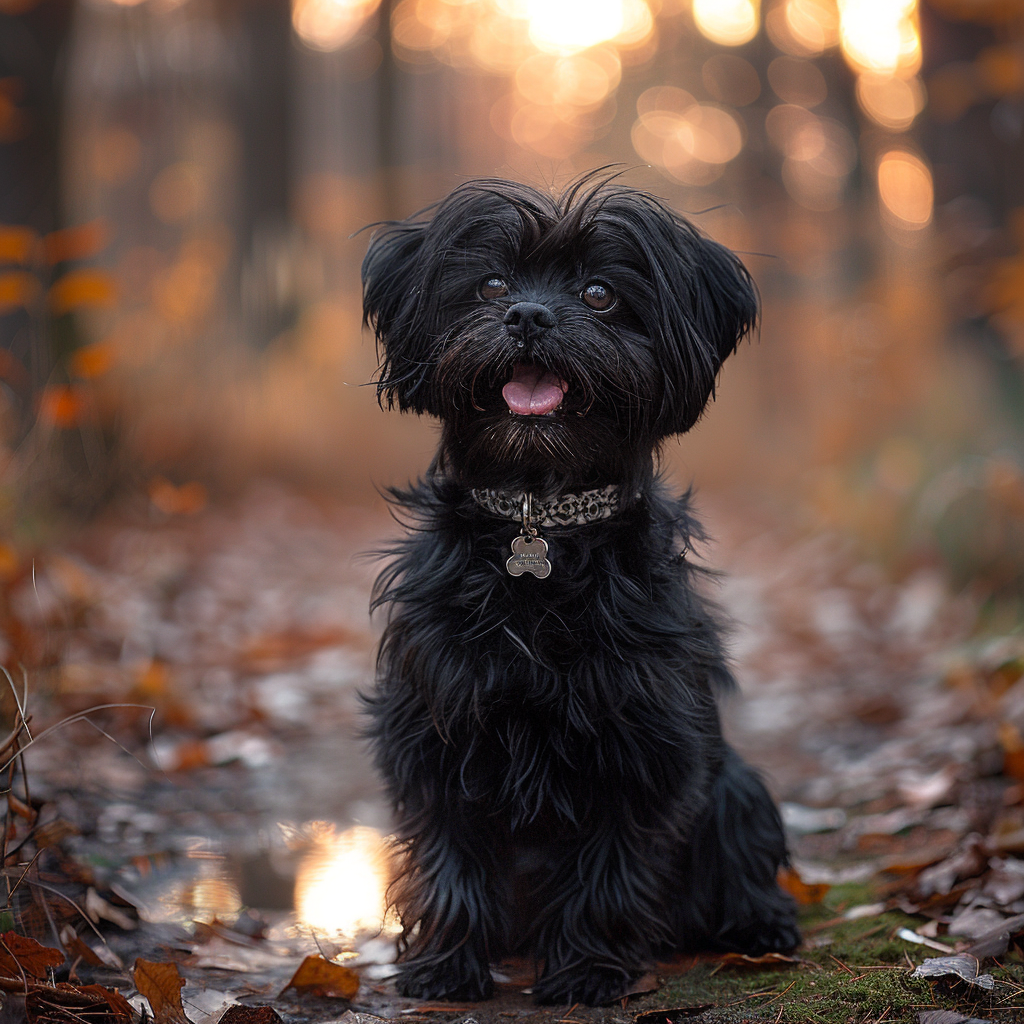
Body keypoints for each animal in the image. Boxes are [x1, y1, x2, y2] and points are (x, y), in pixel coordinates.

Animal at [360, 172, 798, 1003]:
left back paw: (760, 929)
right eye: (491, 285)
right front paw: (447, 964)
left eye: (599, 293)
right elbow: (450, 853)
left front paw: (590, 969)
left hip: (738, 788)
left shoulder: (639, 741)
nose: (528, 315)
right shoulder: (437, 730)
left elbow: (609, 865)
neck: (543, 515)